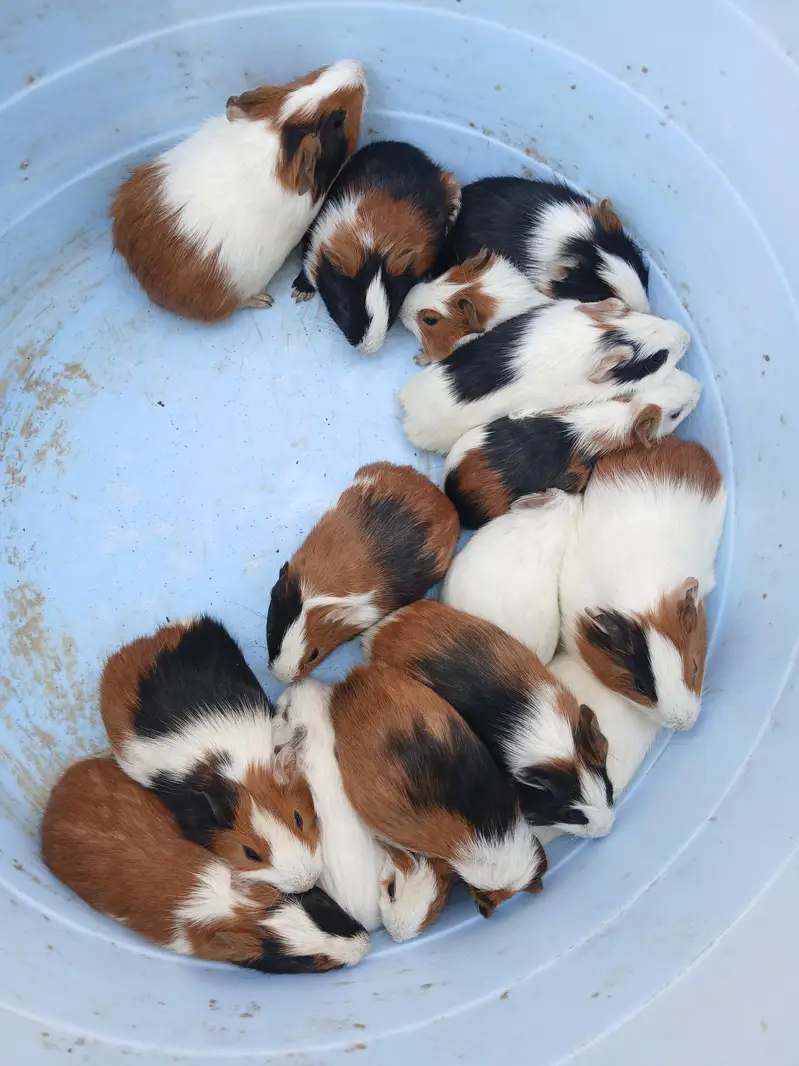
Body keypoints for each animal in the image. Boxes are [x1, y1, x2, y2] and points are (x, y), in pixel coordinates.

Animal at [112, 60, 367, 320]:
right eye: (337, 121)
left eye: (308, 77)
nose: (357, 65)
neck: (274, 140)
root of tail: (138, 268)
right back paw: (264, 300)